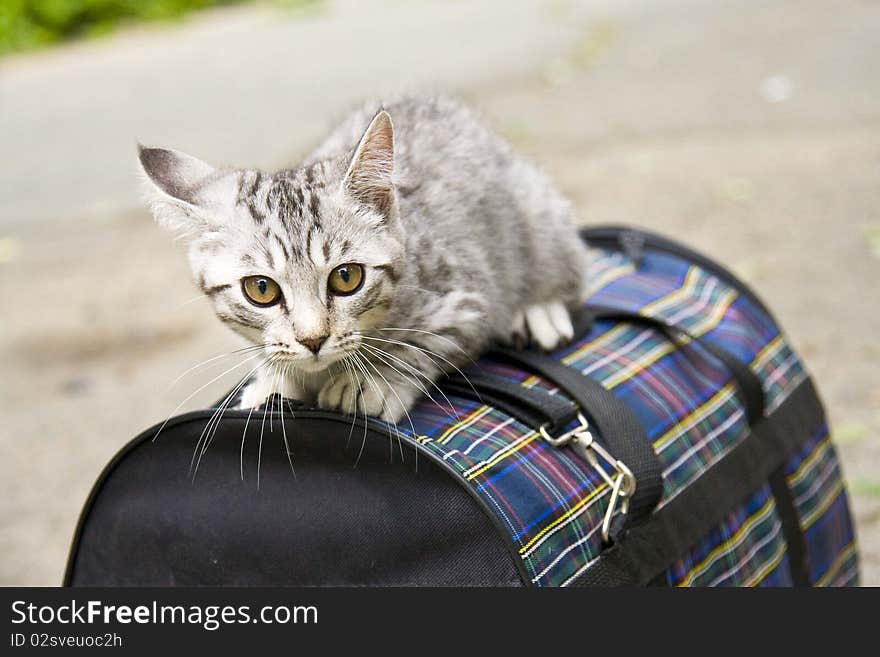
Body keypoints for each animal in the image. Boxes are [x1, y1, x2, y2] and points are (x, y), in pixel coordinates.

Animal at [139, 97, 592, 422]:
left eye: (346, 278)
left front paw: (370, 383)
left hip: (537, 210)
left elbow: (424, 342)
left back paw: (540, 308)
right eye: (261, 289)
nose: (313, 340)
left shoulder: (469, 301)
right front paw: (273, 382)